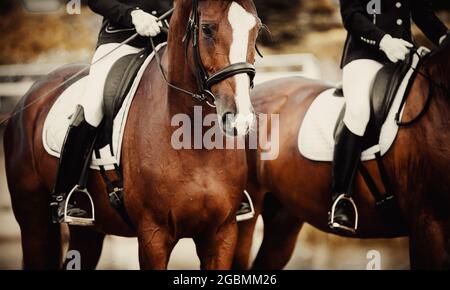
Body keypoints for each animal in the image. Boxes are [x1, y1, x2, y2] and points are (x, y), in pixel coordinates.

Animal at [3, 0, 262, 270]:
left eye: (256, 29)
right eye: (207, 29)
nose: (240, 118)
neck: (195, 141)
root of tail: (32, 92)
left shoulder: (222, 235)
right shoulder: (153, 236)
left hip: (89, 231)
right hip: (34, 220)